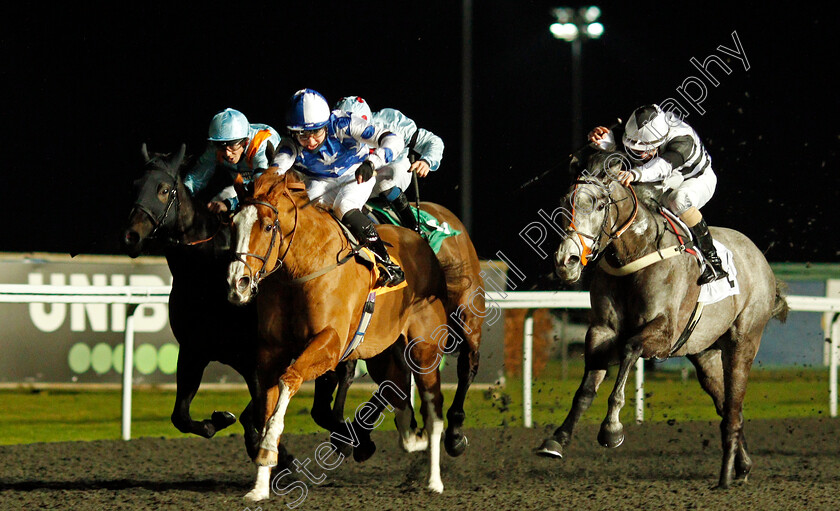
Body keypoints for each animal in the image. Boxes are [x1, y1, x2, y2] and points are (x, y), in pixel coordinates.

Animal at [226, 171, 470, 500]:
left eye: (266, 225)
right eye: (232, 224)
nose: (237, 282)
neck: (303, 269)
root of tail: (420, 239)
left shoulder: (330, 343)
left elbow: (289, 380)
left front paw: (267, 452)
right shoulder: (269, 353)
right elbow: (266, 403)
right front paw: (260, 485)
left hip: (425, 349)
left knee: (434, 410)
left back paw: (434, 480)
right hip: (383, 352)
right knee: (397, 390)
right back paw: (409, 434)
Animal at [540, 153, 788, 492]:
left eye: (600, 205)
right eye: (564, 203)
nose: (567, 261)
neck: (637, 254)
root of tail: (760, 258)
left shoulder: (664, 333)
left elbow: (630, 349)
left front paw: (611, 429)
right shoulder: (602, 331)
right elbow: (585, 390)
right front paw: (557, 439)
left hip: (744, 341)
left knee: (735, 405)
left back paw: (725, 476)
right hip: (705, 353)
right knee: (726, 404)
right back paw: (742, 465)